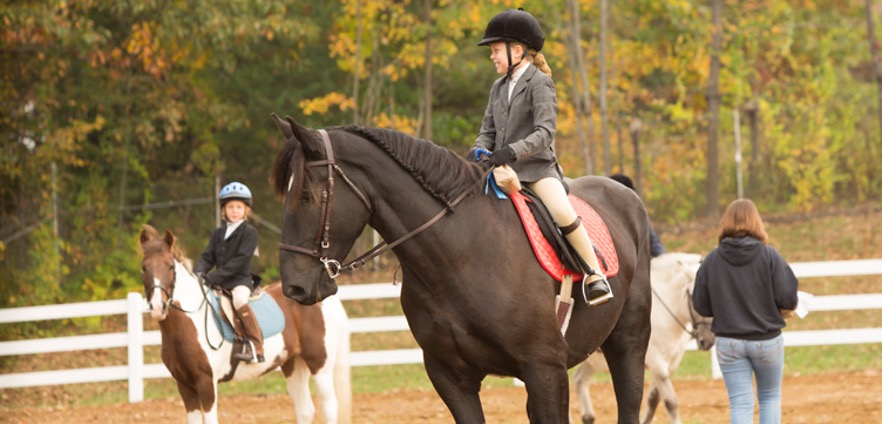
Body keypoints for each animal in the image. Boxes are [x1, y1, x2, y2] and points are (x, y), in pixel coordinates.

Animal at [138, 224, 350, 422]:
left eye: (170, 267)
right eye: (144, 268)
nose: (157, 307)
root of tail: (324, 297)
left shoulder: (206, 383)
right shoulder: (184, 385)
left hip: (320, 364)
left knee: (330, 406)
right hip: (293, 364)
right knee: (305, 410)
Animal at [270, 114, 652, 422]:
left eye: (307, 195)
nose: (294, 288)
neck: (461, 254)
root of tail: (624, 193)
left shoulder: (546, 370)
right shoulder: (451, 377)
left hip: (628, 343)